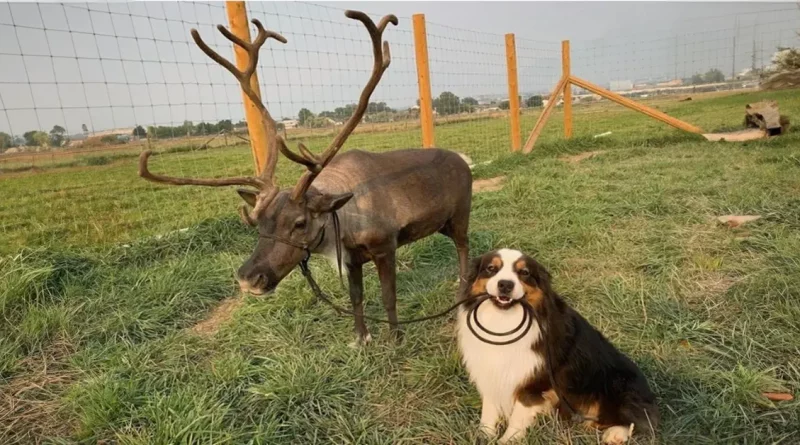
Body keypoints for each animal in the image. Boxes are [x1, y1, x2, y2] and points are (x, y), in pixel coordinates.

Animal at [454, 248, 660, 442]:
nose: (505, 284)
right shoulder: (490, 369)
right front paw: (483, 435)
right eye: (491, 268)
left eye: (524, 272)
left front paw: (507, 440)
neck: (504, 319)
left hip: (619, 383)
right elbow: (489, 408)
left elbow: (519, 415)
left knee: (635, 419)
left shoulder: (535, 380)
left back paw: (615, 434)